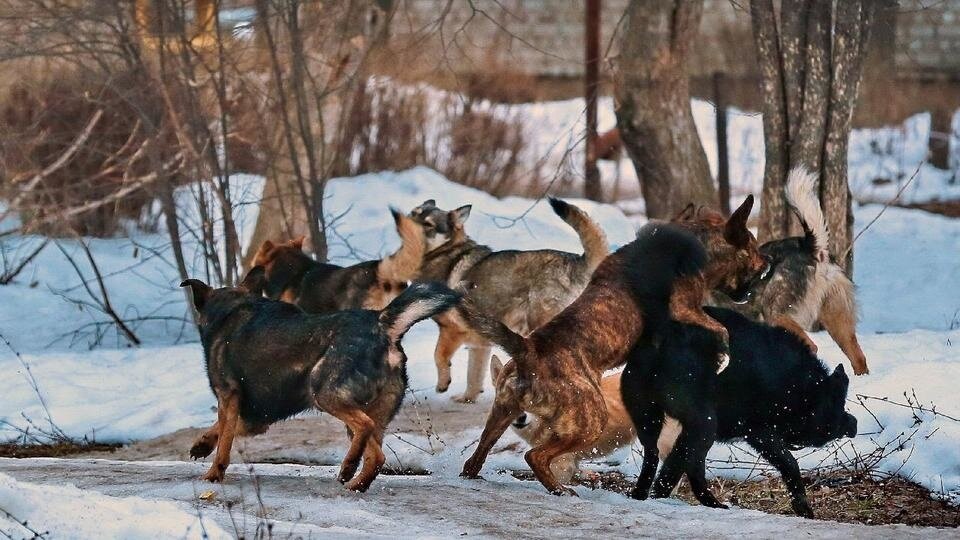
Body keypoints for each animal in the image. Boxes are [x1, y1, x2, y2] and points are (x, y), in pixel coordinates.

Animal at [185, 274, 464, 490]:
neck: (232, 308)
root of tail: (382, 323)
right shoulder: (256, 418)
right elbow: (222, 429)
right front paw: (201, 445)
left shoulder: (229, 397)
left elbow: (224, 443)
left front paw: (213, 475)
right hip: (369, 410)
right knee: (376, 456)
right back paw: (355, 485)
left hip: (324, 393)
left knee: (365, 427)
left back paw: (348, 468)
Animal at [406, 196, 604, 402]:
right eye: (413, 213)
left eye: (428, 224)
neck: (445, 252)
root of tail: (578, 262)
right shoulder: (479, 344)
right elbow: (474, 375)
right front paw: (467, 398)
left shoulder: (451, 329)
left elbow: (439, 355)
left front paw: (443, 384)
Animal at [456, 197, 764, 494]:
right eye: (754, 249)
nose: (768, 261)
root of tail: (528, 350)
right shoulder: (684, 309)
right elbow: (721, 328)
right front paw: (723, 357)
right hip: (591, 419)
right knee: (536, 456)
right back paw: (560, 489)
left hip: (502, 413)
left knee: (477, 456)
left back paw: (475, 475)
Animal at [624, 306, 856, 516]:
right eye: (837, 403)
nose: (853, 424)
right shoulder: (759, 431)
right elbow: (789, 462)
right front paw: (804, 509)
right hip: (703, 423)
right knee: (680, 464)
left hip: (648, 416)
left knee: (656, 455)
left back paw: (644, 496)